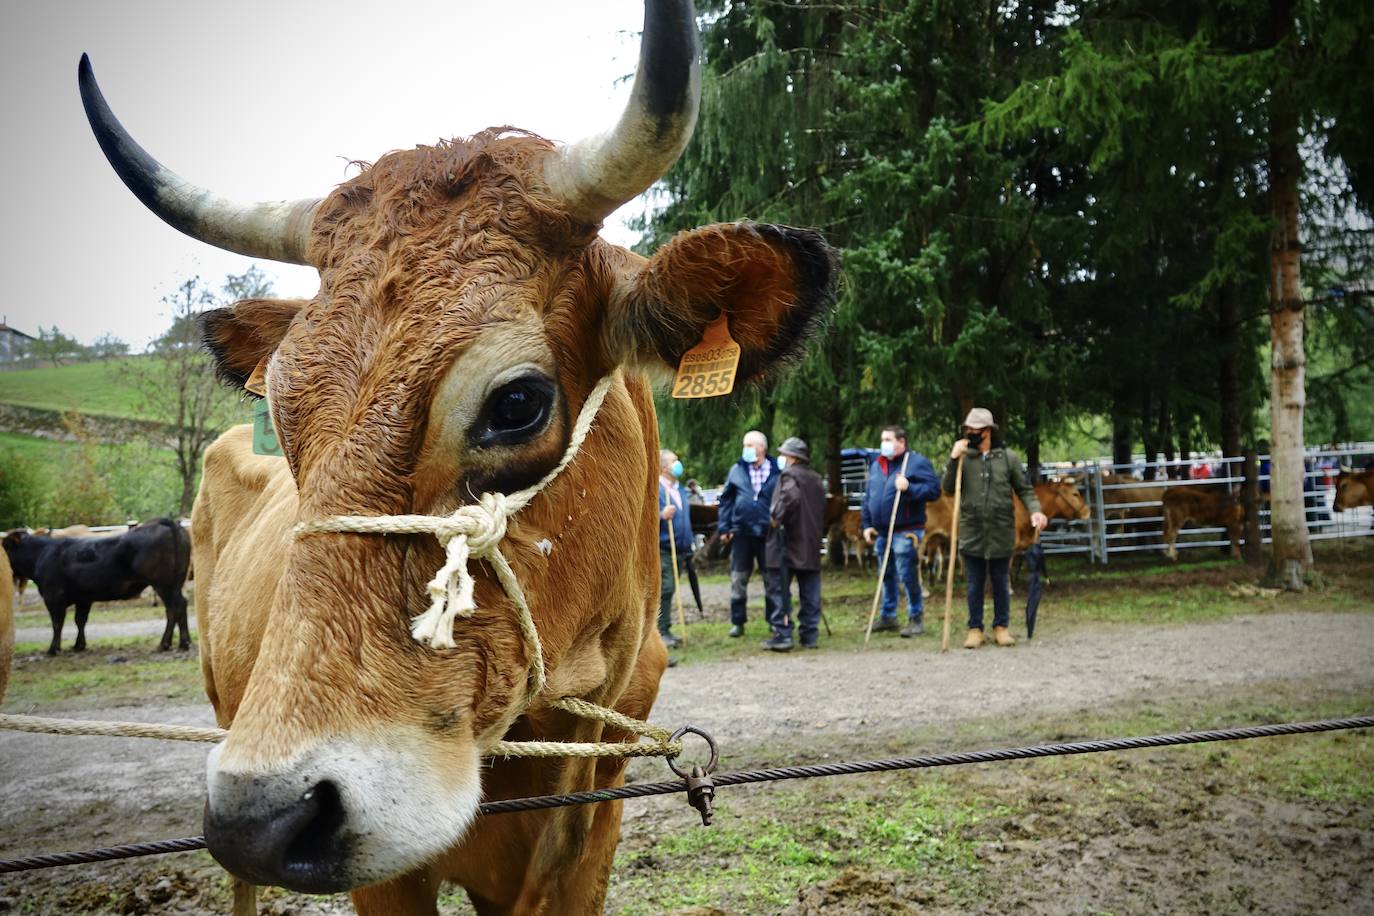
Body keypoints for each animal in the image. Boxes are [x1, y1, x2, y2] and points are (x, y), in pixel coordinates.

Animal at [2, 519, 192, 656]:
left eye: (5, 546)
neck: (42, 553)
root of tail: (164, 522)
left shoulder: (53, 596)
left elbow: (57, 623)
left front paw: (53, 649)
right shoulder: (83, 598)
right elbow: (80, 620)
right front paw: (79, 645)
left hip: (163, 584)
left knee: (174, 608)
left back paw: (170, 644)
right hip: (174, 583)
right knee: (179, 606)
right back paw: (181, 642)